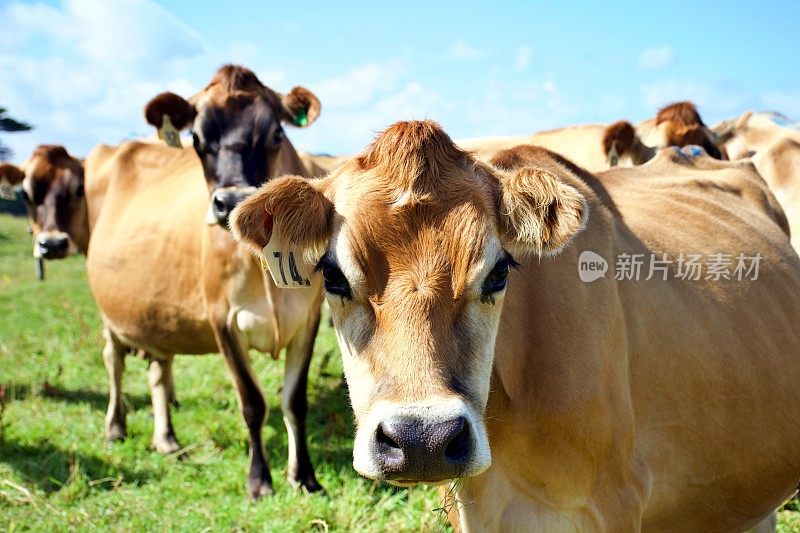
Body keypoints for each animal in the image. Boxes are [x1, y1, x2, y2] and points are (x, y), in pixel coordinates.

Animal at [84, 64, 324, 496]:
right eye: (196, 139)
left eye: (276, 134)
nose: (230, 202)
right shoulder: (221, 319)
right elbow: (253, 403)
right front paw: (259, 480)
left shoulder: (309, 317)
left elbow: (295, 401)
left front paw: (305, 477)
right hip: (107, 309)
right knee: (114, 361)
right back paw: (115, 428)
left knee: (158, 369)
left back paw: (166, 439)